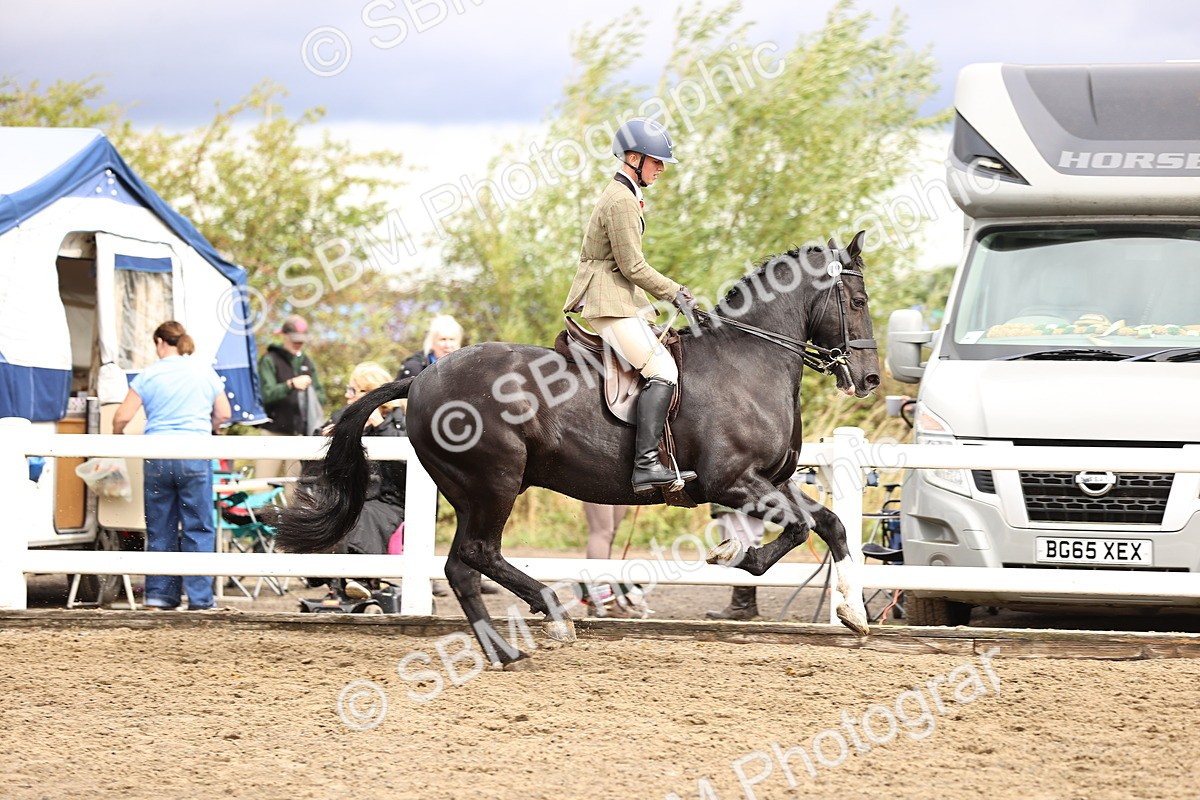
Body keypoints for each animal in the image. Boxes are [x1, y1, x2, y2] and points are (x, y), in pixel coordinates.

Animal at [276, 231, 881, 668]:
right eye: (856, 300)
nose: (871, 378)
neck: (747, 362)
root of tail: (422, 378)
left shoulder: (772, 480)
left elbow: (829, 525)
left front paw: (852, 614)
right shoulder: (731, 481)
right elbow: (800, 529)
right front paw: (734, 554)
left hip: (476, 489)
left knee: (462, 566)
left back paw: (504, 649)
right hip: (493, 481)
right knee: (477, 554)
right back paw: (548, 615)